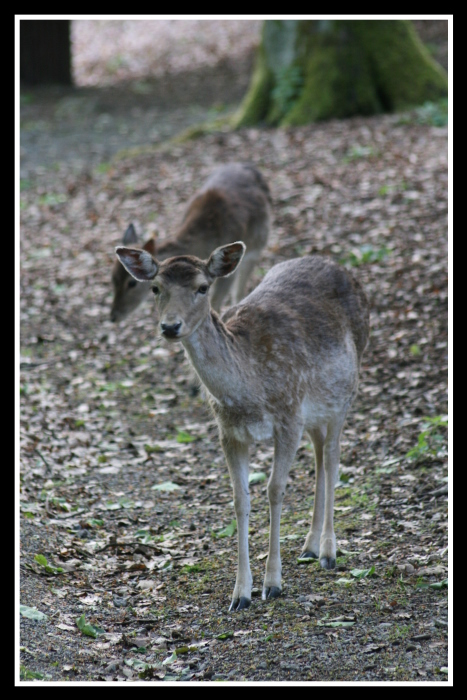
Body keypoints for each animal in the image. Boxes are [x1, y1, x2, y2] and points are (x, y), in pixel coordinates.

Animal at [110, 161, 270, 322]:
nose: (113, 316)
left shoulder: (228, 275)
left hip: (257, 246)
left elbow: (215, 303)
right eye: (113, 279)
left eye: (131, 283)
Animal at [114, 242, 370, 612]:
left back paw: (327, 551)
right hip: (314, 411)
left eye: (202, 287)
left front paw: (272, 584)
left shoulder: (288, 416)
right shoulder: (229, 433)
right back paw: (308, 546)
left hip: (345, 392)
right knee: (320, 454)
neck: (249, 389)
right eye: (155, 288)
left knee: (333, 458)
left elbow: (275, 490)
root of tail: (343, 268)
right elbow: (240, 499)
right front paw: (240, 593)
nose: (170, 326)